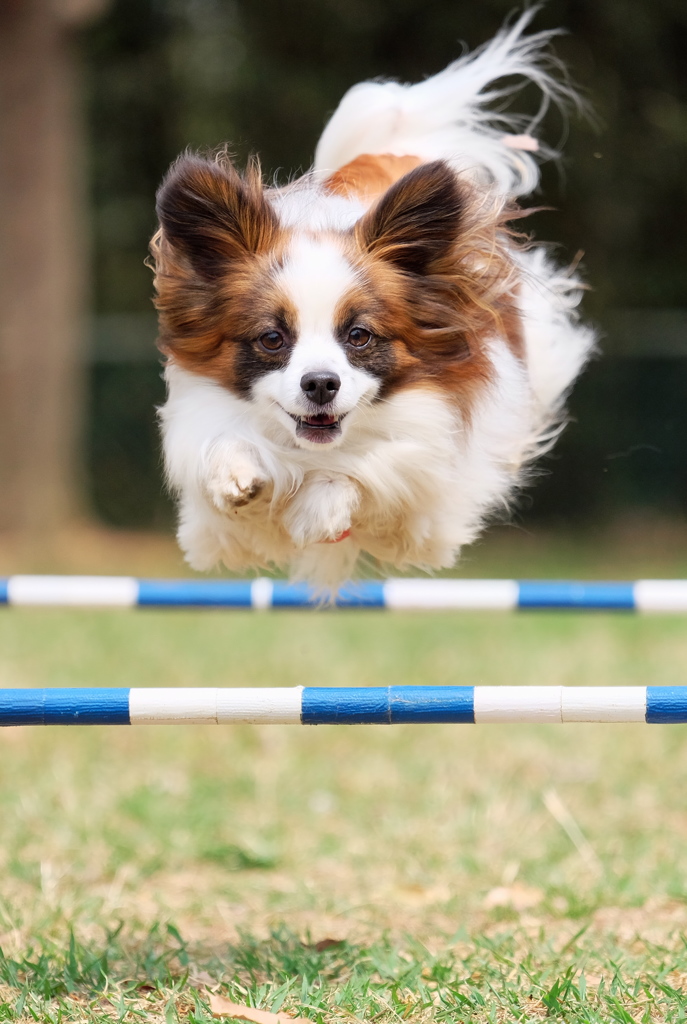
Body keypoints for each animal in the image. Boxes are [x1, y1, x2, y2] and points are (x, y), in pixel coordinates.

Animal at [151, 12, 597, 589]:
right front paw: (238, 472)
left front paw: (320, 506)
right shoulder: (217, 528)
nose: (320, 384)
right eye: (272, 339)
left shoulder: (427, 505)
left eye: (359, 336)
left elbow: (370, 474)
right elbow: (228, 451)